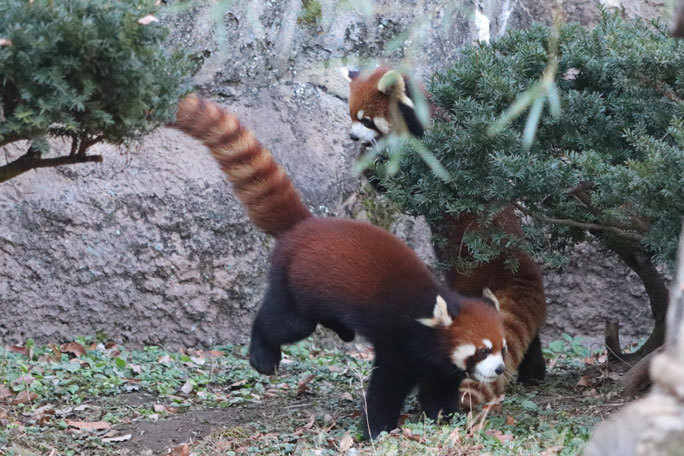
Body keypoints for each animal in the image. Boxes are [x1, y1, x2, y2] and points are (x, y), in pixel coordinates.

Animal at [174, 93, 510, 438]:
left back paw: (343, 330)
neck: (428, 321)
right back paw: (263, 355)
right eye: (483, 350)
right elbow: (386, 387)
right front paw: (377, 428)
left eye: (503, 348)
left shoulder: (440, 364)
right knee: (285, 323)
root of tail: (306, 225)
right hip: (294, 283)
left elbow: (437, 390)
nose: (499, 368)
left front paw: (447, 416)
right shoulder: (399, 343)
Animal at [344, 67, 548, 410]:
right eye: (351, 115)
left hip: (470, 276)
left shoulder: (436, 149)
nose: (353, 137)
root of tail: (517, 262)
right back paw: (534, 374)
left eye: (366, 119)